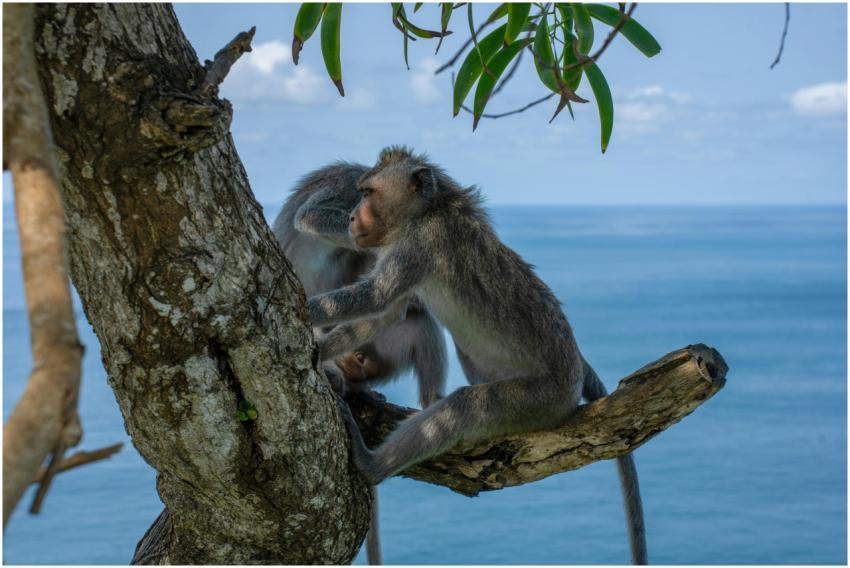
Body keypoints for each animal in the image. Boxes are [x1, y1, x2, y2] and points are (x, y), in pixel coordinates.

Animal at [307, 146, 648, 565]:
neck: (427, 211)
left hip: (541, 399)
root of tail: (574, 374)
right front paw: (323, 353)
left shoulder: (422, 243)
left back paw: (370, 464)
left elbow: (375, 298)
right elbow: (382, 315)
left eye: (368, 192)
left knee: (466, 407)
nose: (353, 217)